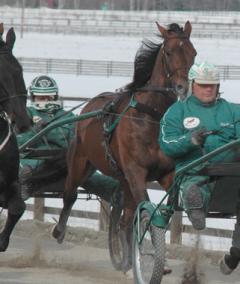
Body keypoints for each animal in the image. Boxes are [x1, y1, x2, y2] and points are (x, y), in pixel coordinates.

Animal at [53, 21, 197, 266]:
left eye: (193, 53)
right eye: (169, 52)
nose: (181, 88)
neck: (151, 117)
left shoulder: (164, 174)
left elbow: (165, 208)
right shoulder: (136, 172)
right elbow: (146, 210)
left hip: (122, 178)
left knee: (125, 218)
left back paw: (124, 257)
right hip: (80, 162)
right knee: (70, 195)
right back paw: (60, 231)